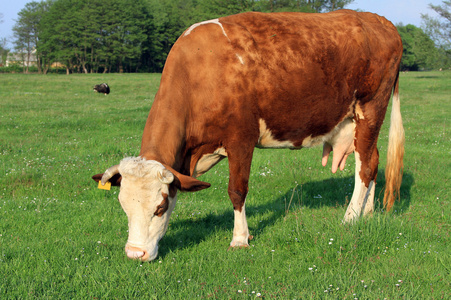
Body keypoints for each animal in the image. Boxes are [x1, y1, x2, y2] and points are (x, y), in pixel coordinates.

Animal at [92, 9, 406, 262]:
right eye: (123, 207)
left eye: (160, 207)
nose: (135, 254)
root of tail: (379, 20)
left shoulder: (241, 139)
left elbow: (237, 190)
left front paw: (240, 238)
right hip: (355, 122)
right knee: (371, 160)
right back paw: (367, 213)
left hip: (371, 108)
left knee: (364, 165)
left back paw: (351, 217)